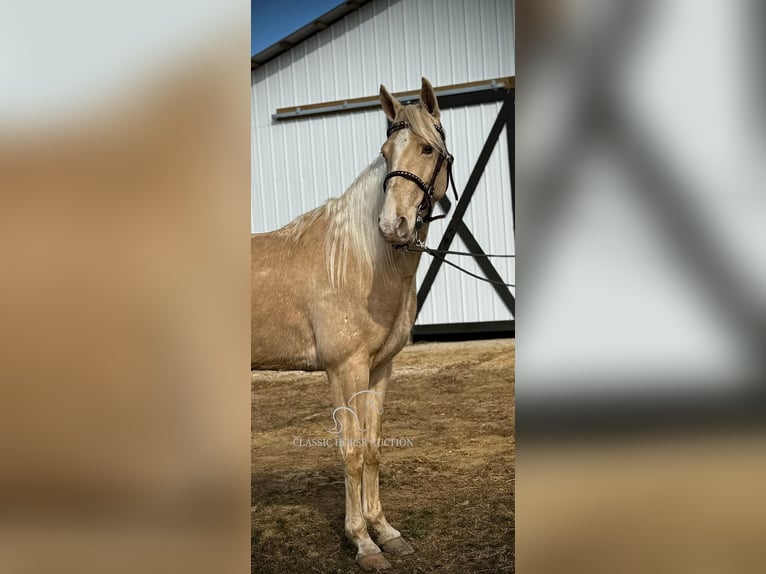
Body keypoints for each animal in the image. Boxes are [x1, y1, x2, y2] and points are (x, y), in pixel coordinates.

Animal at [252, 77, 456, 572]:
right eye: (385, 152)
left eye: (427, 148)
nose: (392, 225)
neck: (358, 261)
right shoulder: (344, 369)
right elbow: (350, 452)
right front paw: (363, 543)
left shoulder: (380, 369)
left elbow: (373, 448)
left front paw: (387, 533)